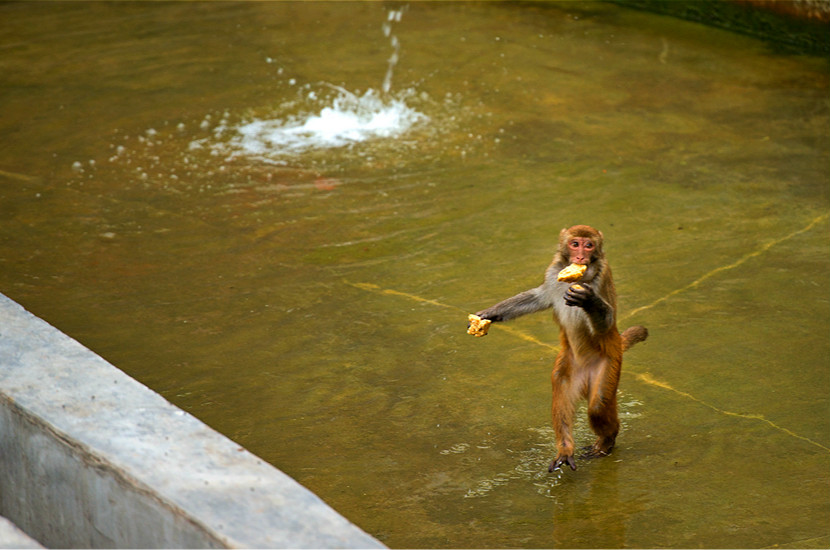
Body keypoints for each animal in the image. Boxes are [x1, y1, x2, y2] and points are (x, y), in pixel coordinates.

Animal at [474, 226, 648, 472]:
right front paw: (488, 315)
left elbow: (606, 322)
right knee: (561, 393)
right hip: (569, 366)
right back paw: (565, 449)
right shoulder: (553, 271)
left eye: (589, 245)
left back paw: (608, 439)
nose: (581, 257)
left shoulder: (603, 276)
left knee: (597, 406)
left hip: (610, 363)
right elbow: (539, 297)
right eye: (575, 244)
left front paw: (589, 300)